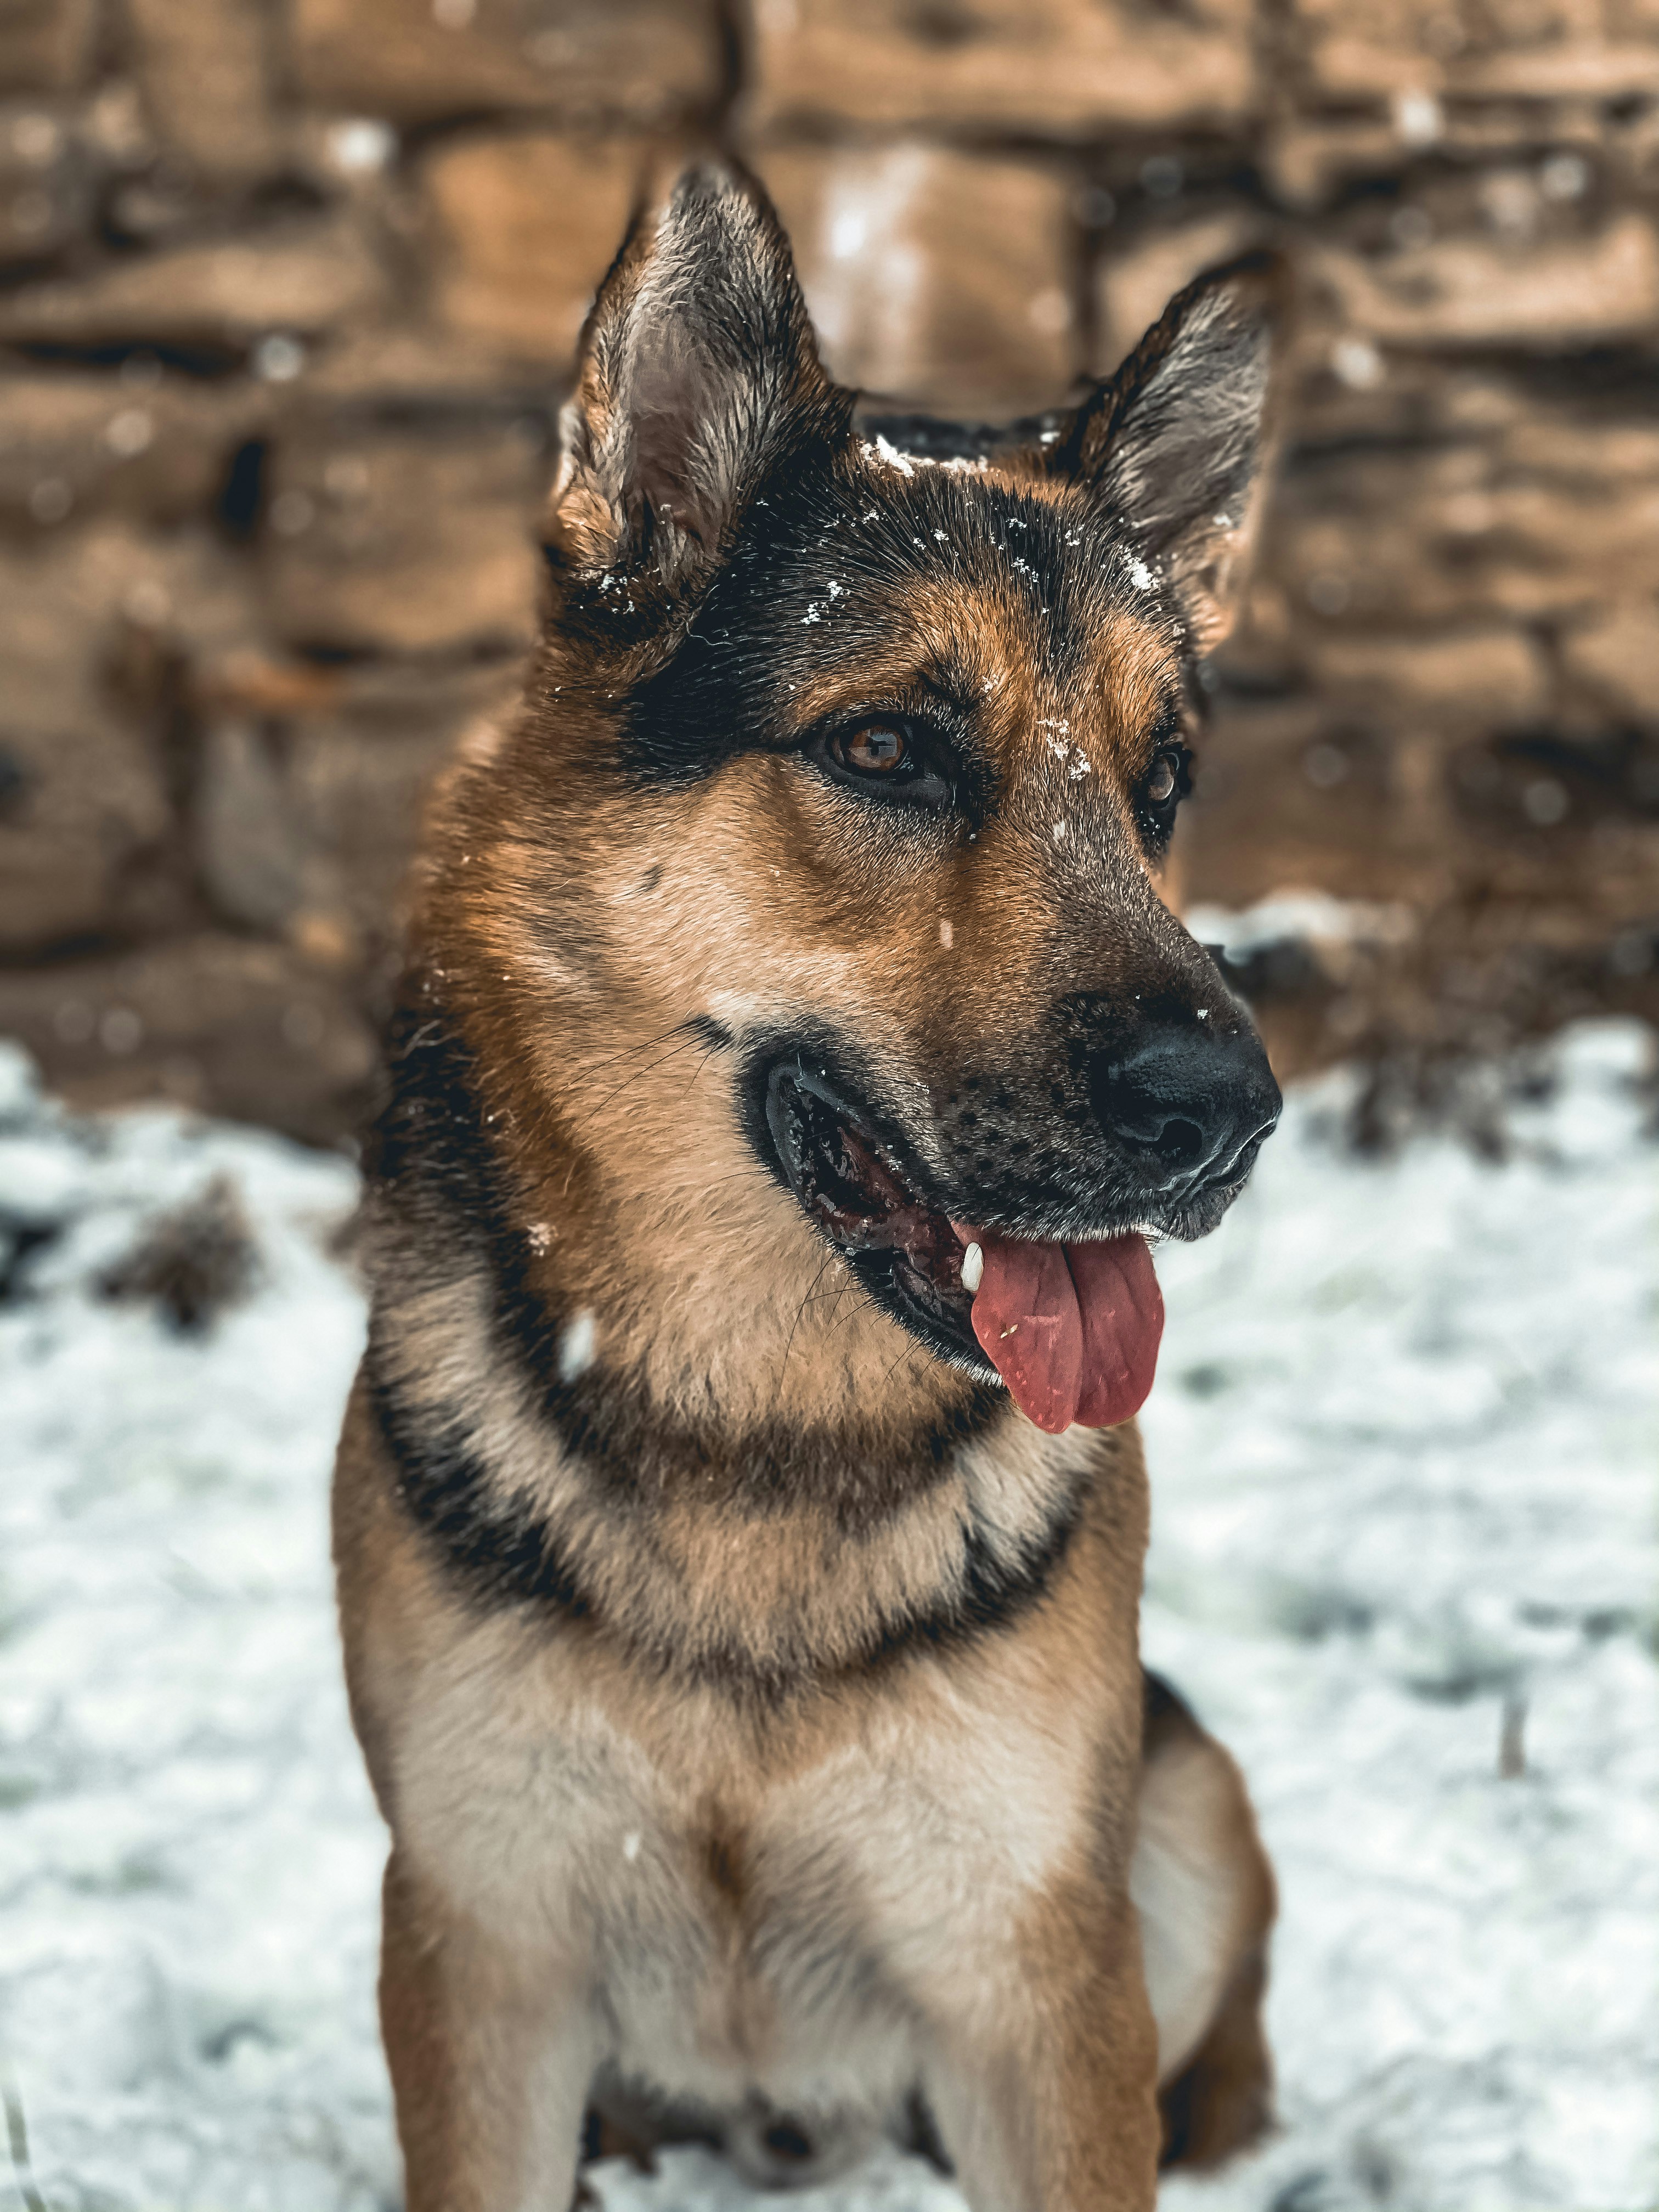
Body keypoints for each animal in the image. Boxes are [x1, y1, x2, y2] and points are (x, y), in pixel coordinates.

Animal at [338, 160, 1291, 2212]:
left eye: (1161, 783)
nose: (1227, 1110)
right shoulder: (476, 1955)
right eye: (884, 747)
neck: (756, 1436)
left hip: (1179, 1806)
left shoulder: (1035, 1982)